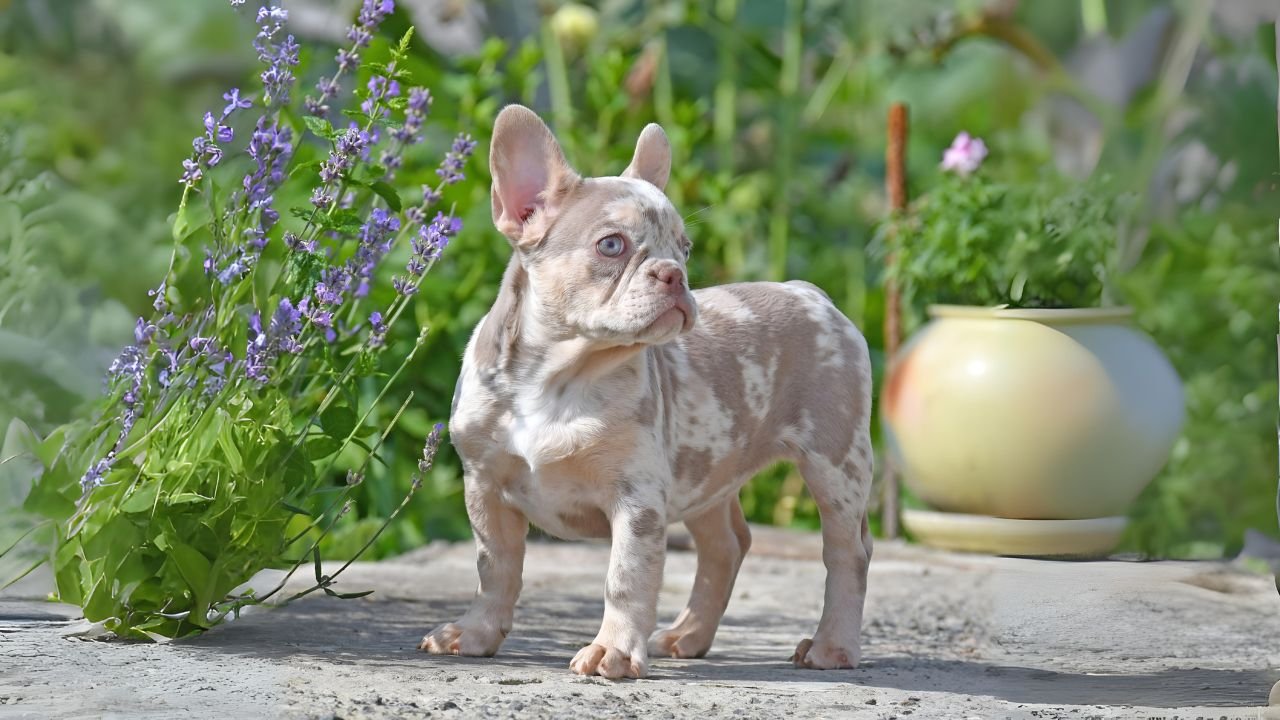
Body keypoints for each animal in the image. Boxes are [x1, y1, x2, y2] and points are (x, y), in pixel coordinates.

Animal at [417, 103, 870, 676]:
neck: (557, 378)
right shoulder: (485, 486)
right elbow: (494, 568)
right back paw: (687, 635)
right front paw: (474, 632)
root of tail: (810, 292)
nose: (675, 273)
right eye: (612, 245)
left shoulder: (637, 501)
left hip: (836, 464)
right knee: (726, 545)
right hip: (708, 474)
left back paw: (832, 646)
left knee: (846, 552)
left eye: (686, 248)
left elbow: (626, 577)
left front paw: (611, 649)